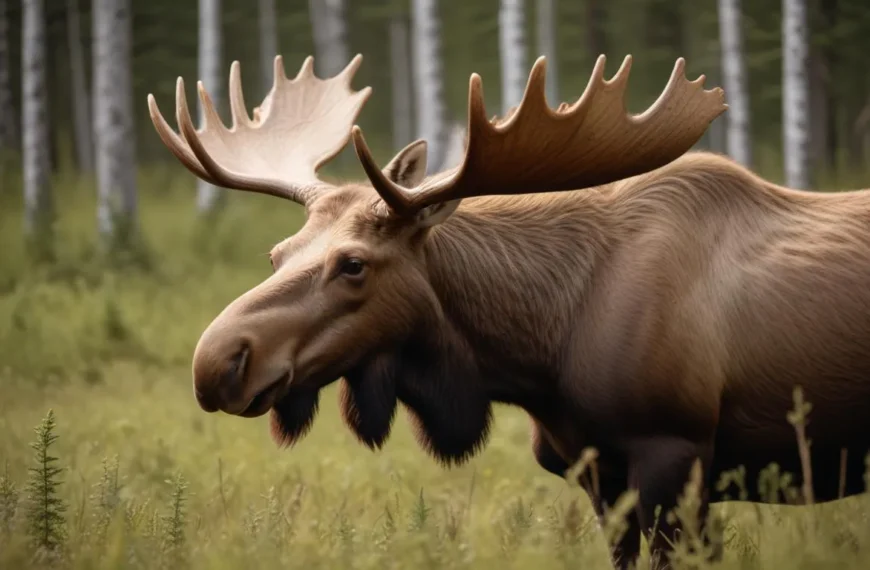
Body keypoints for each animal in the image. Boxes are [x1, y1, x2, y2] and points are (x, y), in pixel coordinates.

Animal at [147, 53, 870, 569]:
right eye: (277, 253)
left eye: (354, 263)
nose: (217, 362)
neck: (539, 355)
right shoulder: (601, 476)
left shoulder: (675, 454)